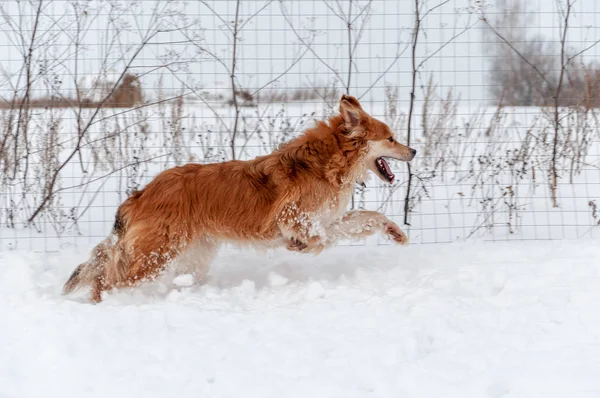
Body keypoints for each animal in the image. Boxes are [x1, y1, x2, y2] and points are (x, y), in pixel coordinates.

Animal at [63, 95, 414, 302]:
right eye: (391, 138)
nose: (413, 150)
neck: (327, 163)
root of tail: (139, 195)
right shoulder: (294, 216)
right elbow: (321, 238)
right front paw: (298, 246)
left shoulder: (326, 217)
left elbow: (365, 218)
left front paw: (395, 232)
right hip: (155, 256)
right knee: (106, 280)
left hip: (191, 255)